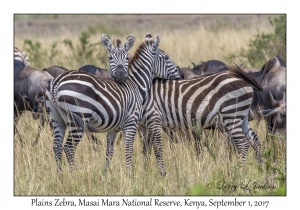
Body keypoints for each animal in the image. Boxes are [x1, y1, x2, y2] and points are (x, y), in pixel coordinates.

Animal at [44, 32, 184, 176]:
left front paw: (105, 174)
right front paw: (130, 175)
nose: (182, 74)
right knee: (69, 148)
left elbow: (109, 152)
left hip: (57, 118)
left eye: (127, 57)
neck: (136, 84)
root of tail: (56, 81)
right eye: (166, 58)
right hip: (78, 118)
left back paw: (60, 176)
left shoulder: (113, 128)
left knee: (57, 146)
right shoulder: (131, 122)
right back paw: (74, 175)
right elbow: (129, 149)